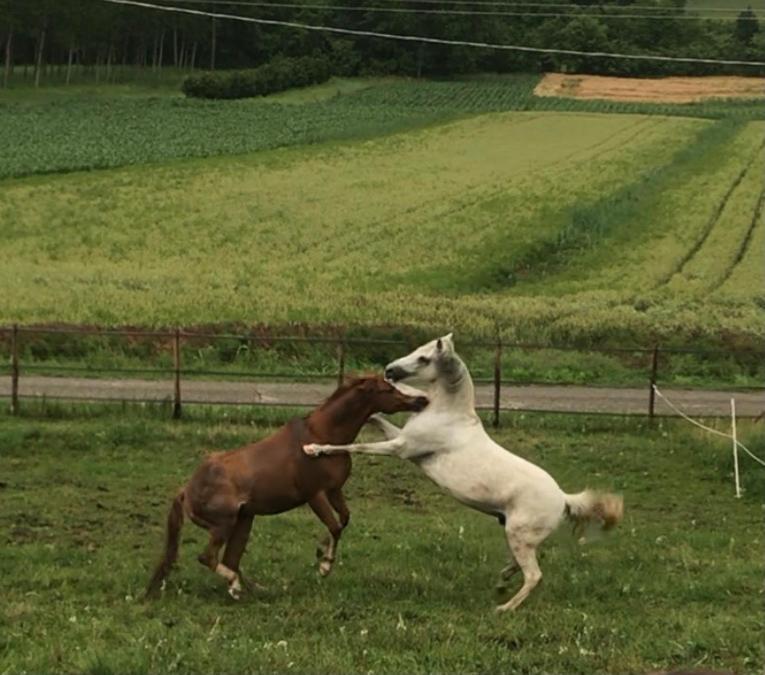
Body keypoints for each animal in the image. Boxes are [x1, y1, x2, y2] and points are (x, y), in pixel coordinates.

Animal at [146, 378, 426, 600]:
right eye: (387, 389)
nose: (420, 400)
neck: (322, 435)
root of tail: (186, 491)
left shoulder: (334, 491)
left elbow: (343, 521)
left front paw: (321, 551)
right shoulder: (315, 495)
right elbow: (335, 526)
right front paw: (325, 566)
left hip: (244, 522)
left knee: (230, 561)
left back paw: (250, 589)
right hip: (224, 524)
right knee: (209, 558)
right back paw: (237, 586)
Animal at [302, 334, 620, 612]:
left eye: (424, 357)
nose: (389, 370)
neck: (447, 414)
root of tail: (564, 499)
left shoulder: (401, 448)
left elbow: (357, 446)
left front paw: (315, 448)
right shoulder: (400, 439)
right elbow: (377, 420)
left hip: (519, 534)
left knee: (534, 575)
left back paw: (504, 607)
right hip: (518, 534)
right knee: (520, 564)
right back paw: (502, 581)